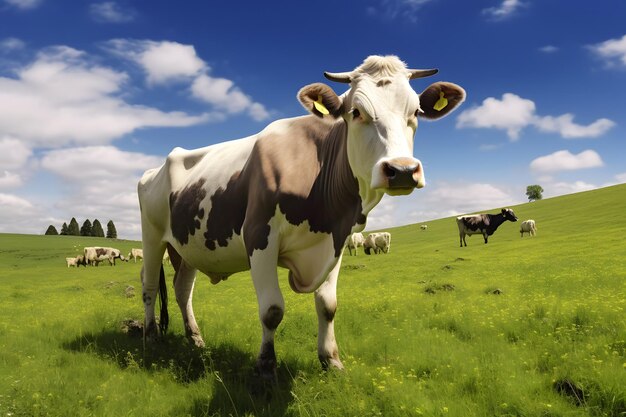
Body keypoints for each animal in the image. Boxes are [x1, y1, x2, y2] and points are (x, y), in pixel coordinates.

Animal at [139, 53, 466, 376]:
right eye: (356, 112)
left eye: (416, 112)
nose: (402, 170)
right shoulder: (259, 237)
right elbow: (272, 310)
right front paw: (265, 366)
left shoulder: (336, 239)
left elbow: (328, 305)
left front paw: (331, 361)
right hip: (152, 237)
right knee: (149, 286)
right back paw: (150, 336)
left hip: (188, 246)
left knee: (182, 290)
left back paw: (195, 339)